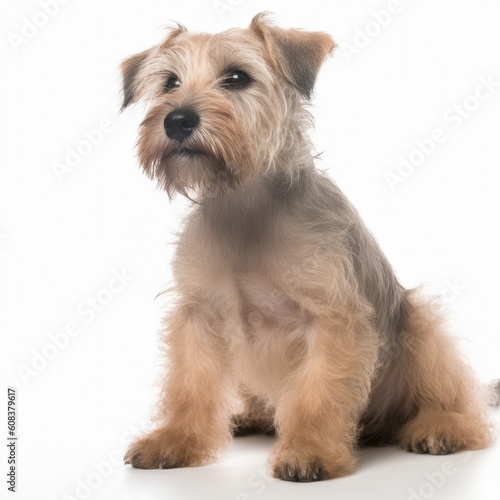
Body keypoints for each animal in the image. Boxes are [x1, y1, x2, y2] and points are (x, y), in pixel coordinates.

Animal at [119, 12, 498, 480]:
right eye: (170, 82)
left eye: (237, 77)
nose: (177, 120)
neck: (245, 205)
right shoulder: (198, 316)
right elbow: (188, 386)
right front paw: (174, 440)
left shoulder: (332, 319)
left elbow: (319, 393)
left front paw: (309, 450)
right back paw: (251, 416)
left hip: (422, 327)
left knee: (461, 405)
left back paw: (441, 426)